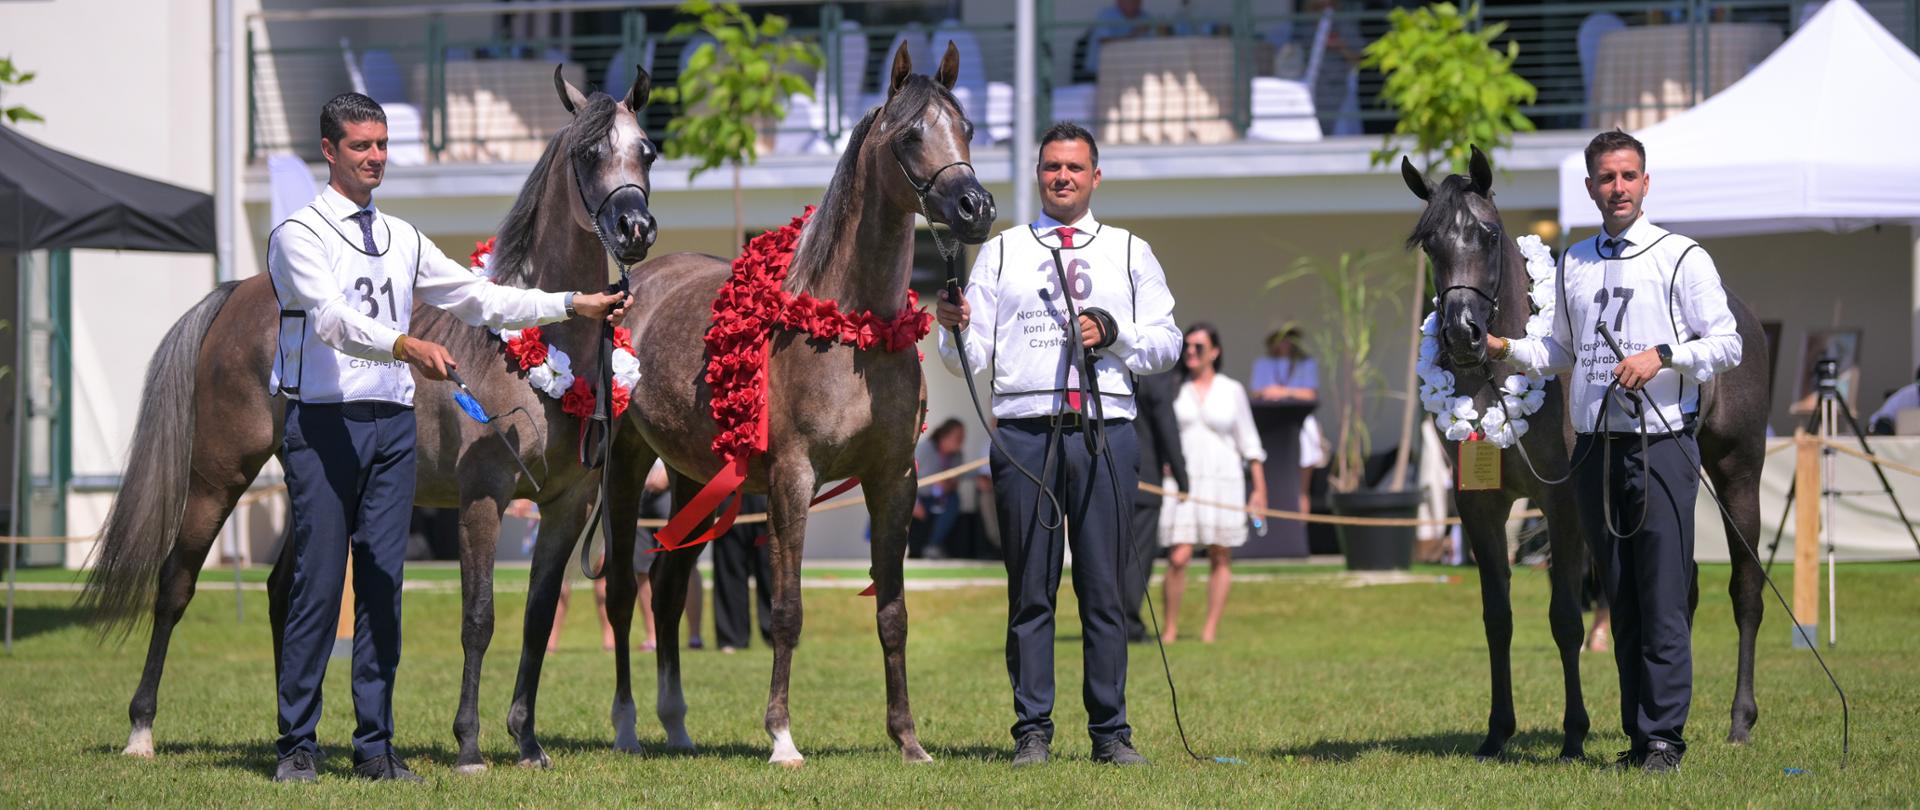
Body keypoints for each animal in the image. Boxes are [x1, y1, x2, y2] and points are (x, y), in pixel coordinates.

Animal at [497, 43, 995, 768]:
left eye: (969, 129)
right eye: (910, 135)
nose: (974, 207)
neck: (850, 328)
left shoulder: (895, 479)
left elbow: (893, 613)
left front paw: (908, 740)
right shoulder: (792, 478)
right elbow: (786, 609)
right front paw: (782, 737)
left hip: (692, 477)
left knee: (669, 589)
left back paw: (676, 724)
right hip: (626, 468)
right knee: (623, 594)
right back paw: (628, 726)